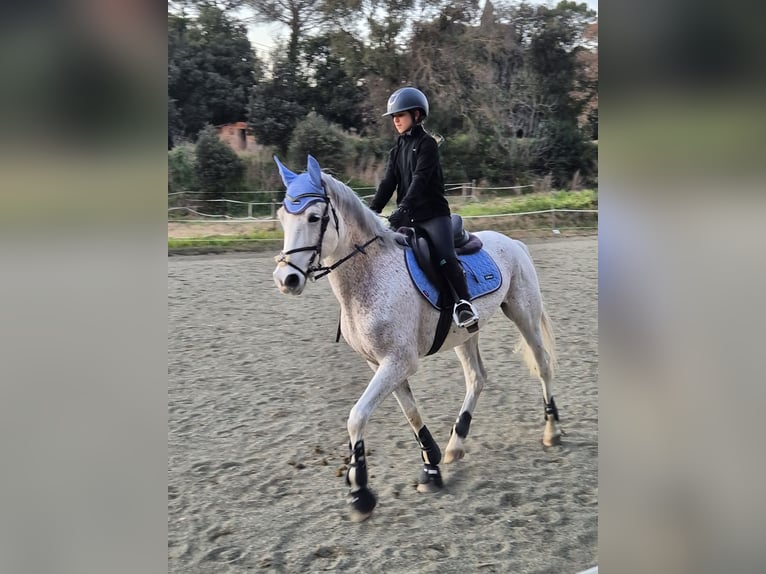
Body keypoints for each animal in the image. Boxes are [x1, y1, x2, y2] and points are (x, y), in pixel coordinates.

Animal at [272, 155, 560, 522]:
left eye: (313, 217)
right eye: (282, 217)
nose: (286, 279)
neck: (369, 275)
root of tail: (513, 242)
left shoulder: (398, 361)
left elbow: (357, 416)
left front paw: (360, 492)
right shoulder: (381, 363)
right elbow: (411, 413)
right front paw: (432, 469)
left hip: (524, 314)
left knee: (542, 364)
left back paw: (552, 431)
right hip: (466, 334)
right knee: (477, 378)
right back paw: (456, 444)